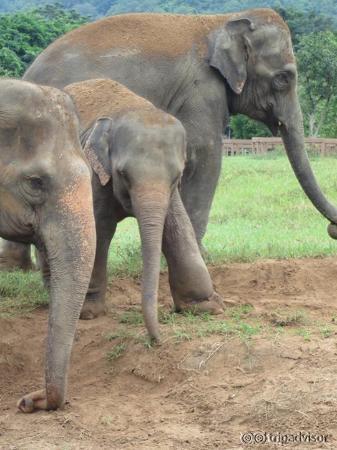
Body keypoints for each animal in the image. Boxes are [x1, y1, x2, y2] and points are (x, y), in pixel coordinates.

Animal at [0, 7, 336, 270]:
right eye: (283, 79)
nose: (332, 229)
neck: (220, 22)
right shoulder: (202, 91)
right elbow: (205, 156)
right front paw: (203, 258)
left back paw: (19, 268)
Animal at [63, 80, 223, 342]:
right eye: (123, 174)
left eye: (177, 176)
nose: (157, 339)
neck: (133, 108)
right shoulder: (95, 173)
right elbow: (98, 227)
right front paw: (88, 313)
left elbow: (178, 228)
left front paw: (206, 307)